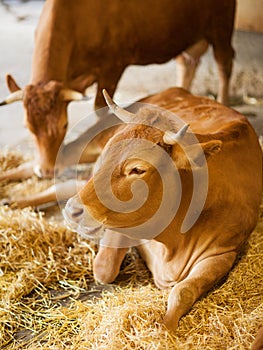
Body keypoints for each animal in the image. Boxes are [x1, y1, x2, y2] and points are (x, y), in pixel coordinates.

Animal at [0, 0, 236, 179]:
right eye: (27, 126)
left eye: (64, 125)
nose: (47, 171)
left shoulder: (112, 67)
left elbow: (99, 109)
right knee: (187, 63)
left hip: (221, 26)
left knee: (224, 63)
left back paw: (223, 100)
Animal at [61, 87, 262, 330]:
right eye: (108, 153)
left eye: (137, 169)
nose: (72, 210)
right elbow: (104, 268)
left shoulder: (223, 253)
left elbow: (182, 291)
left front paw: (165, 329)